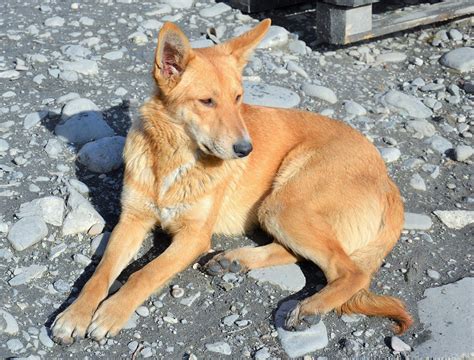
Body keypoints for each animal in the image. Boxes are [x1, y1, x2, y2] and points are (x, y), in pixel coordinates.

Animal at [51, 19, 412, 344]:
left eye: (239, 97)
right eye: (206, 101)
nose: (246, 150)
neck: (174, 159)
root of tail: (389, 183)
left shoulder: (195, 236)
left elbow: (145, 273)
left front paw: (112, 312)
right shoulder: (131, 221)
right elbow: (100, 273)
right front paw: (75, 314)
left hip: (282, 204)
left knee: (350, 271)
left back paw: (309, 307)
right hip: (280, 211)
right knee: (302, 254)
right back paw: (234, 260)